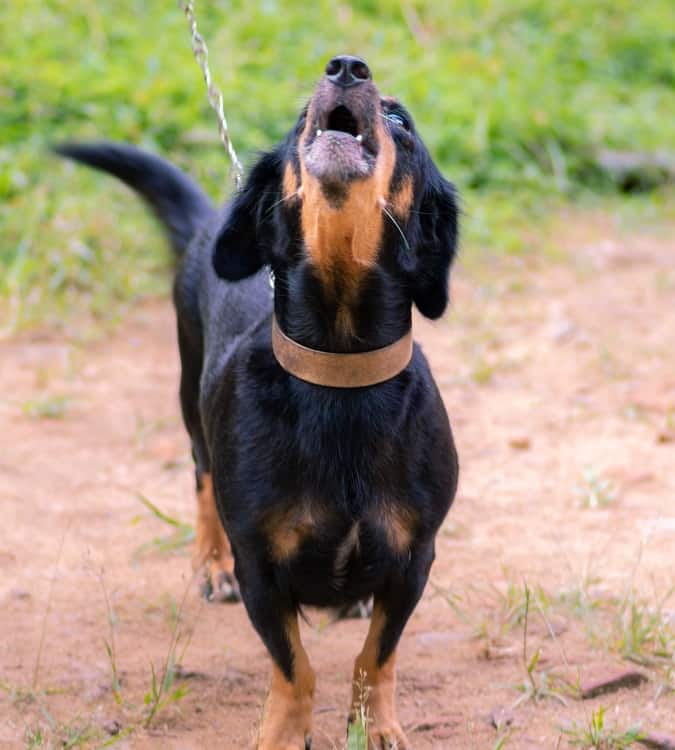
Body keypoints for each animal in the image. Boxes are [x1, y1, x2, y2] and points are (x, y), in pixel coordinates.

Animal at [56, 54, 460, 750]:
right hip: (190, 400)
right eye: (300, 118)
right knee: (200, 479)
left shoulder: (415, 558)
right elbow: (294, 667)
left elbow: (376, 655)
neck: (337, 375)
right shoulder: (261, 571)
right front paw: (283, 732)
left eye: (402, 122)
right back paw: (208, 562)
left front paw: (377, 724)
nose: (346, 67)